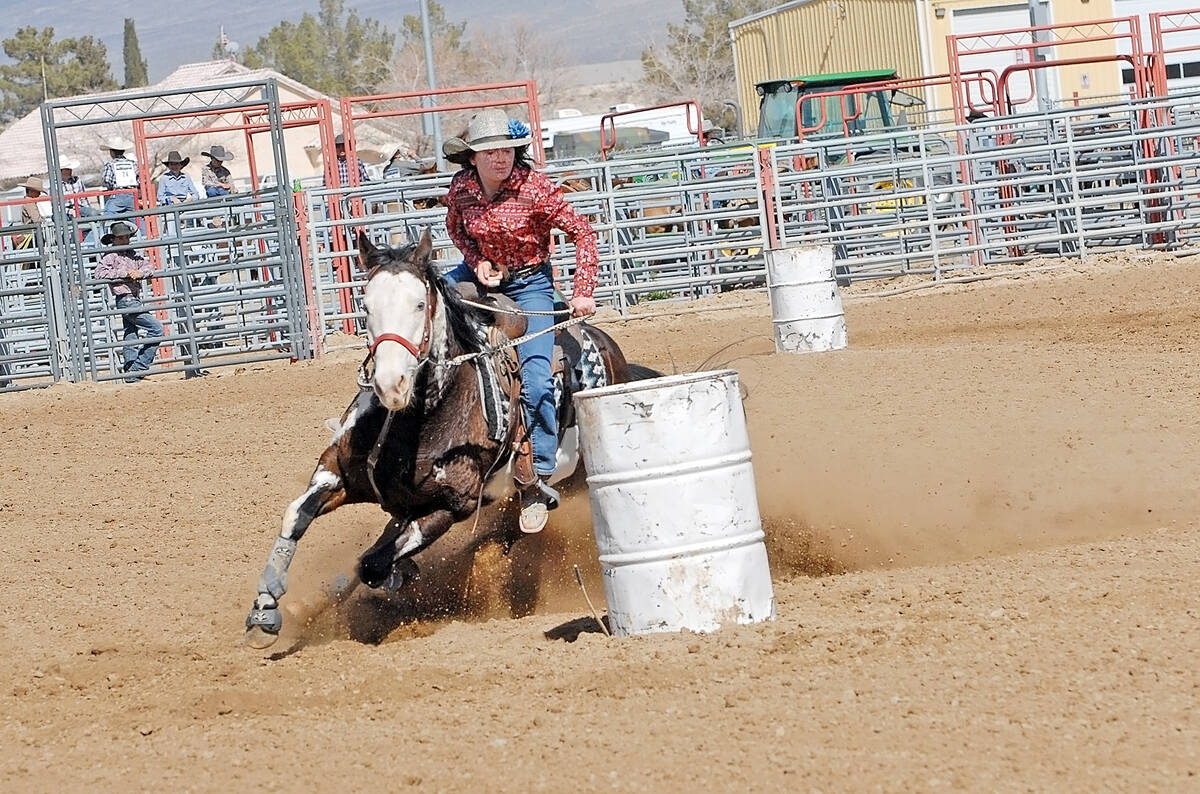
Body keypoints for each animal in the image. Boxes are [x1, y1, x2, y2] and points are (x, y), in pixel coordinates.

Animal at [243, 229, 657, 647]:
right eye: (366, 305)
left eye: (418, 304)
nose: (391, 385)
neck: (418, 424)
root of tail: (610, 351)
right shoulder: (335, 473)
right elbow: (296, 516)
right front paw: (265, 609)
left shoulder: (450, 508)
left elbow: (374, 563)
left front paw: (395, 574)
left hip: (565, 484)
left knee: (508, 528)